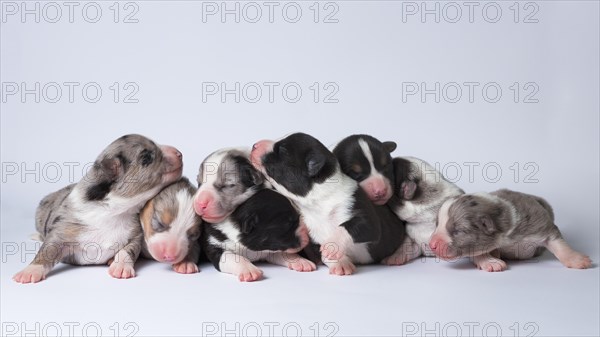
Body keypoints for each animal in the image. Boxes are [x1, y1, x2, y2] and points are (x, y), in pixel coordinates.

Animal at [12, 135, 182, 282]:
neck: (112, 212)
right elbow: (48, 250)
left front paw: (120, 266)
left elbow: (127, 251)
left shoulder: (135, 236)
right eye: (146, 158)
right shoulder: (62, 231)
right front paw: (29, 271)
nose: (179, 153)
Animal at [251, 133, 406, 274]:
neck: (316, 203)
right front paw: (340, 264)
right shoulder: (309, 237)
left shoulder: (359, 209)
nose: (254, 145)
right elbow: (322, 255)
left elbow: (352, 227)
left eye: (282, 150)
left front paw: (331, 245)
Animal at [428, 188, 592, 272]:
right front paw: (490, 261)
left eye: (457, 231)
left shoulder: (542, 224)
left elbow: (559, 244)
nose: (431, 245)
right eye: (437, 224)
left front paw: (576, 259)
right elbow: (478, 251)